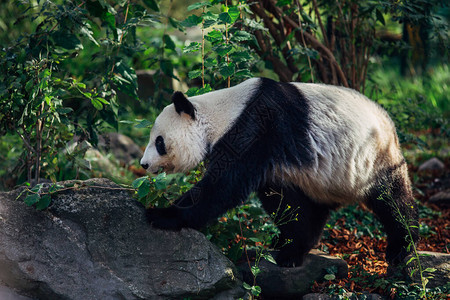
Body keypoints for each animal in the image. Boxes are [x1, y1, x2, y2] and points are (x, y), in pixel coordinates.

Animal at [141, 77, 418, 268]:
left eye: (159, 142)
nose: (144, 164)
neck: (222, 114)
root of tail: (390, 125)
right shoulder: (275, 161)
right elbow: (283, 199)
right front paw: (289, 245)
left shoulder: (255, 128)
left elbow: (221, 187)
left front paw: (161, 214)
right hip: (321, 177)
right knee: (313, 205)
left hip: (373, 158)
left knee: (391, 199)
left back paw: (402, 246)